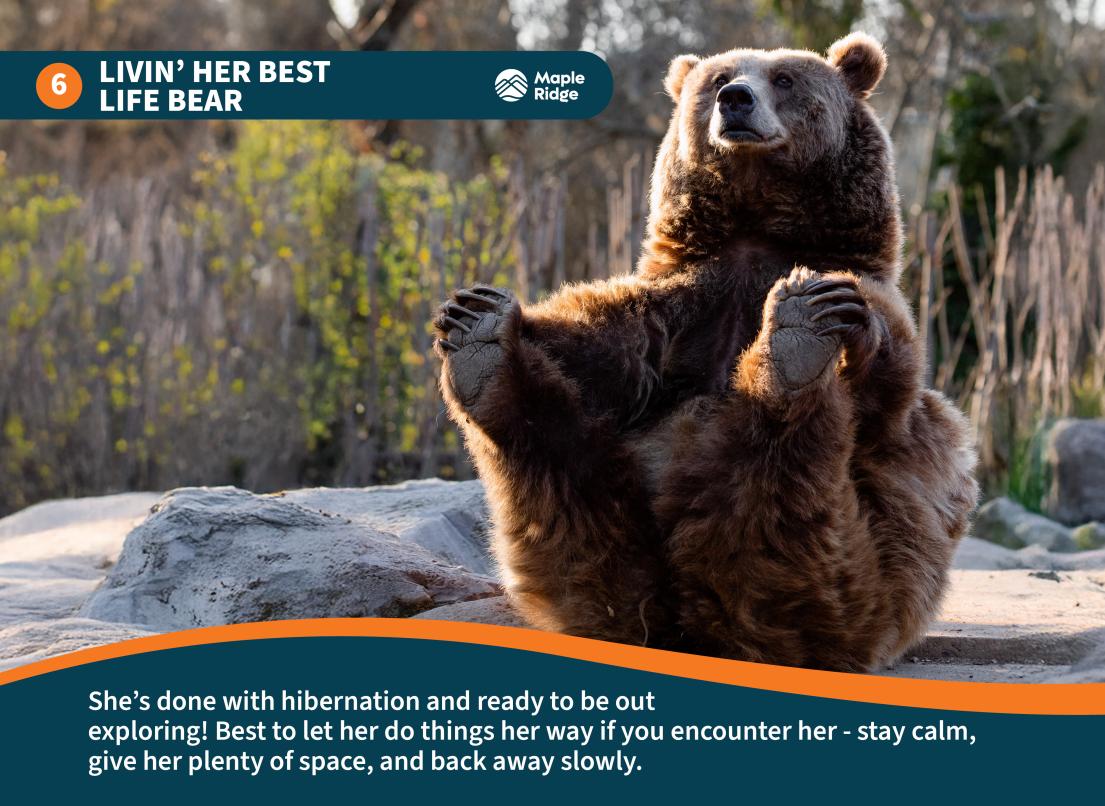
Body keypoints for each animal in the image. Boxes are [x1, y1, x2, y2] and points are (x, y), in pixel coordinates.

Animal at [432, 33, 978, 672]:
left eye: (785, 79)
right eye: (718, 79)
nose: (736, 99)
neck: (758, 230)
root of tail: (691, 621)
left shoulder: (854, 296)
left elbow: (888, 377)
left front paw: (825, 308)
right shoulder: (683, 306)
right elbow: (602, 343)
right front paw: (485, 315)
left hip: (867, 564)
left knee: (788, 491)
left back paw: (794, 345)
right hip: (601, 524)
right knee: (563, 469)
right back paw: (481, 349)